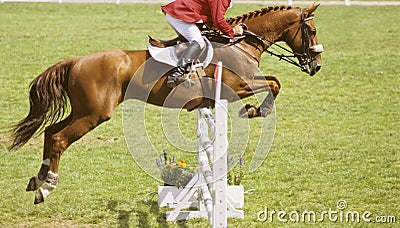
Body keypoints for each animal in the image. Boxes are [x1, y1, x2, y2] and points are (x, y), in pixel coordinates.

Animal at [9, 3, 324, 204]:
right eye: (311, 31)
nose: (317, 65)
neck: (242, 45)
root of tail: (76, 61)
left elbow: (274, 82)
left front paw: (255, 109)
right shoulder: (236, 86)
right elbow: (273, 84)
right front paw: (255, 110)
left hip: (83, 111)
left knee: (50, 133)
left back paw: (37, 179)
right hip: (94, 114)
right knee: (59, 138)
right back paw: (47, 187)